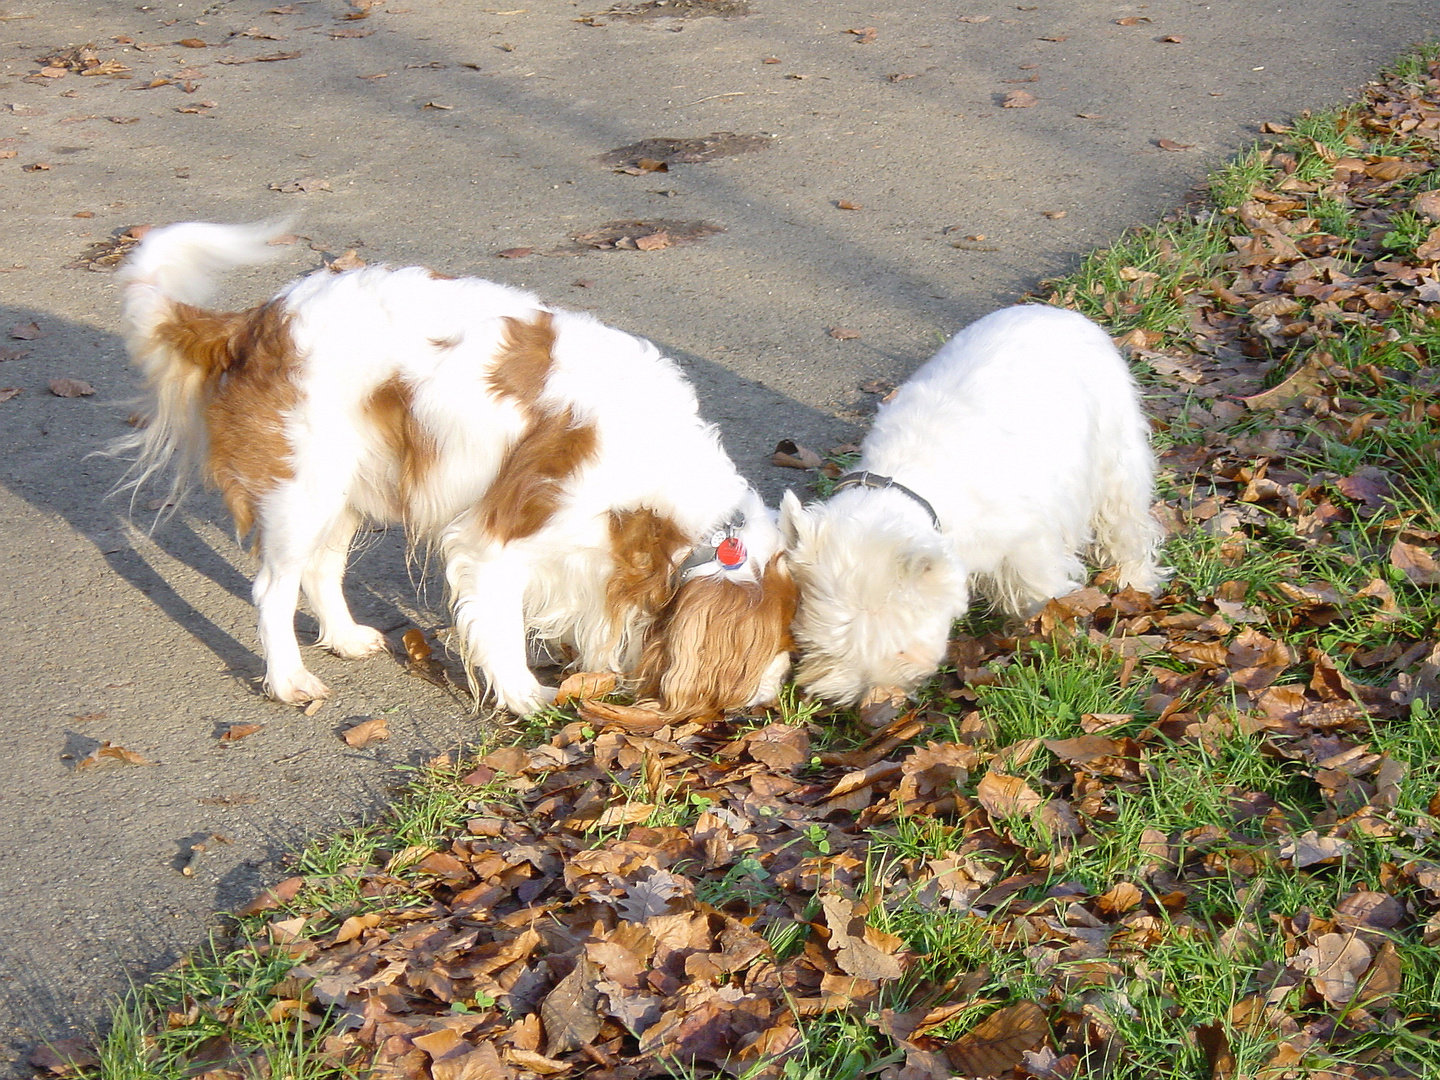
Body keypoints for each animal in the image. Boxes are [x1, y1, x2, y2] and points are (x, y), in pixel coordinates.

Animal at [115, 220, 800, 720]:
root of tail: (256, 320)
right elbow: (502, 630)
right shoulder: (494, 543)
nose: (774, 700)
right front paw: (529, 699)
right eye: (778, 648)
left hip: (347, 490)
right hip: (300, 491)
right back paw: (289, 680)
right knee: (272, 589)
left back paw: (345, 637)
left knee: (321, 567)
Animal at [783, 306, 1163, 711]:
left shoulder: (1029, 544)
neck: (912, 483)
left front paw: (1047, 640)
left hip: (1116, 454)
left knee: (1126, 523)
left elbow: (1039, 592)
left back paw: (1135, 581)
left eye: (901, 647)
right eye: (826, 647)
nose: (873, 705)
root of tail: (1057, 311)